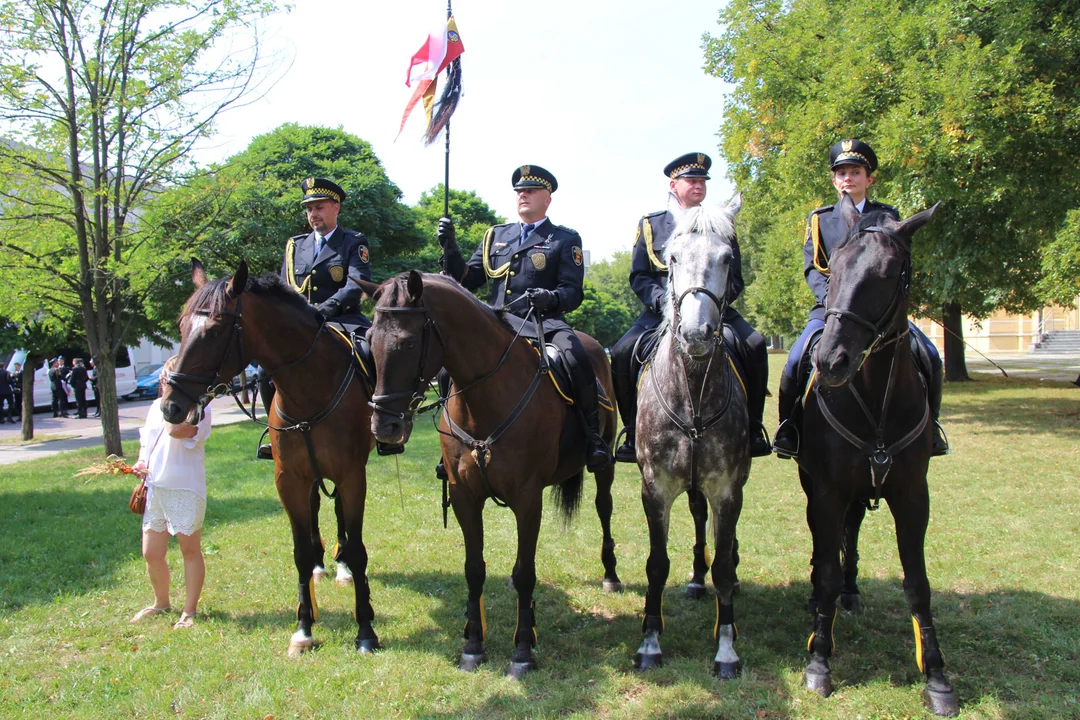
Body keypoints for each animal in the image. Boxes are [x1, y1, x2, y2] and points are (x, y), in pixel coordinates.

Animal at [157, 260, 382, 660]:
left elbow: (357, 550)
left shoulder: (352, 475)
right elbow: (300, 551)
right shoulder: (288, 479)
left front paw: (366, 630)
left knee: (338, 512)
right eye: (181, 327)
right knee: (315, 511)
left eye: (215, 330)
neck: (310, 388)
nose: (172, 406)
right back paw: (322, 565)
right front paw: (304, 629)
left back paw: (339, 566)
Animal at [360, 272, 622, 682]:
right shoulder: (464, 497)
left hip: (605, 464)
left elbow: (526, 571)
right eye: (370, 340)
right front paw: (472, 645)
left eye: (408, 341)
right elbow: (474, 570)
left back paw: (611, 574)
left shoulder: (527, 499)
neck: (484, 396)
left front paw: (523, 651)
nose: (383, 427)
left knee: (603, 507)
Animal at [630, 198, 751, 682]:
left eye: (728, 259)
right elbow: (656, 563)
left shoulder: (728, 489)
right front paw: (649, 641)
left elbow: (724, 565)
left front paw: (727, 649)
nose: (696, 334)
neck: (693, 392)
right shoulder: (655, 489)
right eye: (674, 258)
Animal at [799, 195, 959, 716]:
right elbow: (827, 570)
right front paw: (819, 661)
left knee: (850, 532)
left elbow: (918, 584)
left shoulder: (912, 494)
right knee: (828, 543)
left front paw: (937, 677)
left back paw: (849, 594)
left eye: (889, 273)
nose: (831, 361)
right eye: (834, 266)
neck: (874, 400)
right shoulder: (827, 489)